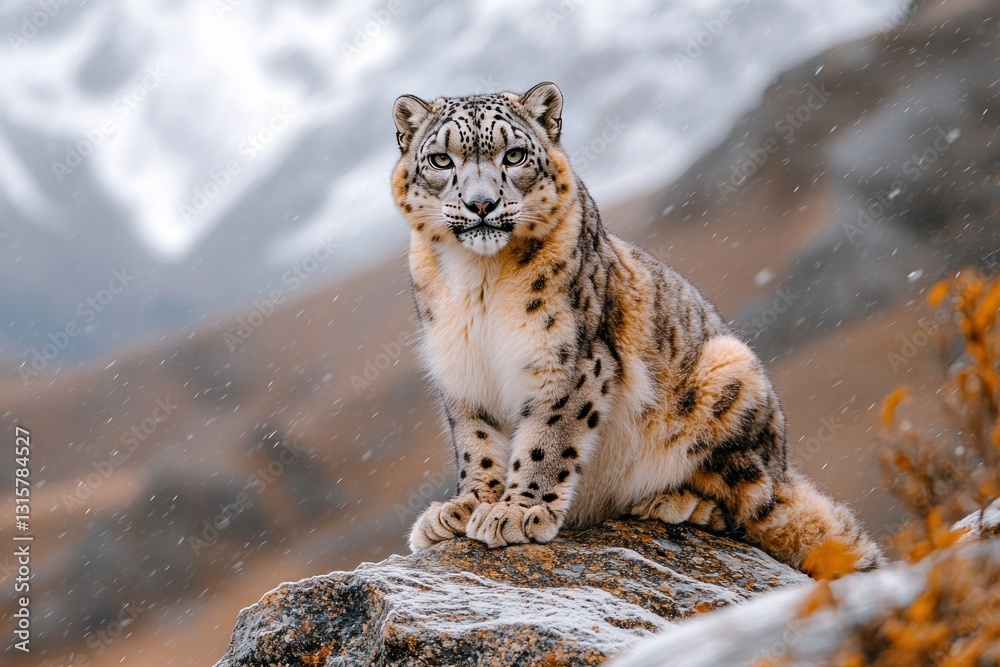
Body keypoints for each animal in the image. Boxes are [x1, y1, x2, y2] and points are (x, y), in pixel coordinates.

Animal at [390, 81, 884, 576]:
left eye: (514, 155)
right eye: (441, 160)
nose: (481, 204)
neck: (481, 281)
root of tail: (783, 466)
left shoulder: (570, 361)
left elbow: (547, 439)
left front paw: (518, 511)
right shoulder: (462, 371)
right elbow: (477, 443)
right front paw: (466, 506)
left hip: (729, 372)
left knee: (750, 509)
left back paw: (671, 502)